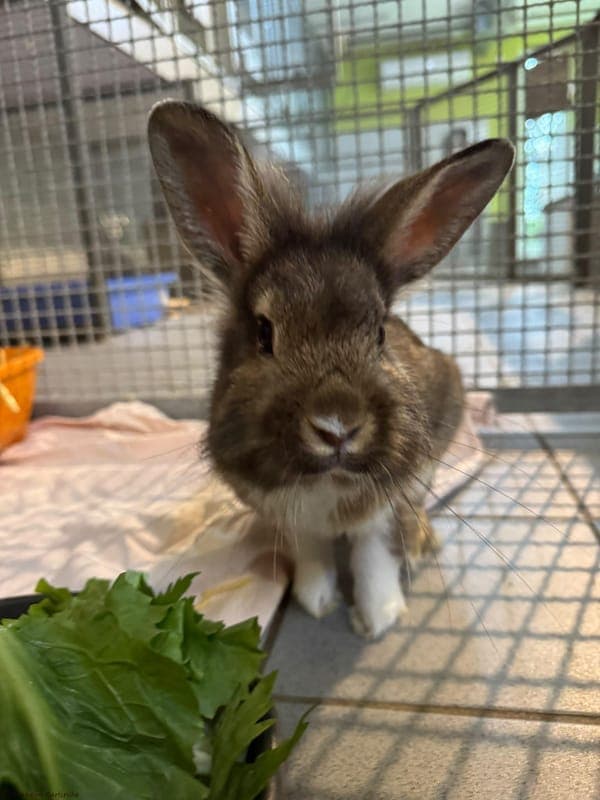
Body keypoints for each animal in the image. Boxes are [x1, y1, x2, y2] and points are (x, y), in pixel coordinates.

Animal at [147, 101, 514, 638]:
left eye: (380, 331)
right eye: (264, 333)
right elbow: (313, 554)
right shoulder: (292, 518)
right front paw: (316, 602)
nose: (337, 426)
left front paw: (378, 618)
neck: (327, 479)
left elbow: (372, 554)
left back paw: (422, 543)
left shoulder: (387, 501)